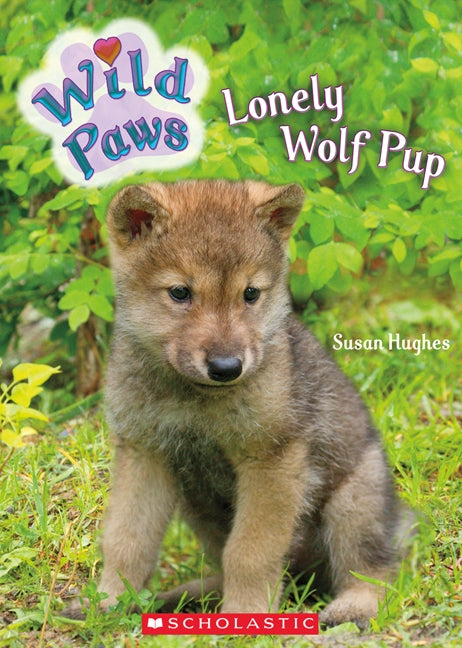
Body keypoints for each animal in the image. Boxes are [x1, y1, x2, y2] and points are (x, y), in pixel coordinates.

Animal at [95, 179, 413, 628]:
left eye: (250, 294)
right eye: (180, 293)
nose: (227, 367)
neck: (196, 398)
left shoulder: (271, 459)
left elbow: (249, 552)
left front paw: (245, 616)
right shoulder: (146, 452)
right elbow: (126, 539)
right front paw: (108, 602)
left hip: (354, 502)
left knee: (374, 569)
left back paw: (353, 605)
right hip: (200, 509)